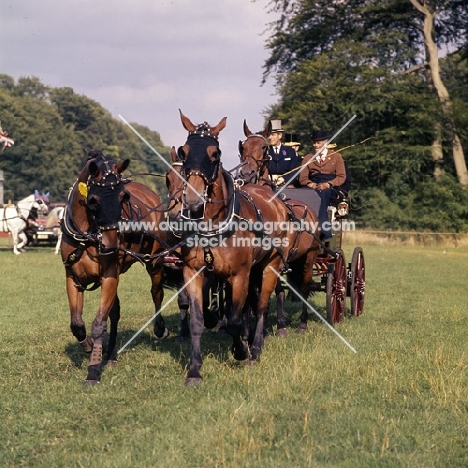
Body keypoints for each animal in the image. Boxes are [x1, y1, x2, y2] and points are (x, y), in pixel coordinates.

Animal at [61, 150, 169, 384]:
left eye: (123, 197)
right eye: (93, 200)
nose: (111, 245)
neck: (88, 237)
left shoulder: (109, 275)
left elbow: (99, 323)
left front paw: (93, 369)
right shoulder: (73, 277)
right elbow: (77, 324)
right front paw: (90, 347)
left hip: (155, 261)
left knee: (156, 292)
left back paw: (160, 328)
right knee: (115, 312)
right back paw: (111, 355)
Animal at [166, 111, 294, 386]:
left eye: (215, 153)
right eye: (184, 151)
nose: (192, 199)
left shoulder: (240, 275)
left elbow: (235, 319)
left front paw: (241, 350)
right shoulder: (193, 272)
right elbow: (197, 320)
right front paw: (194, 370)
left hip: (270, 266)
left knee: (261, 305)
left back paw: (255, 349)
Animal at [238, 119, 322, 334]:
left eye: (264, 147)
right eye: (243, 147)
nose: (247, 174)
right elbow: (258, 294)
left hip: (309, 258)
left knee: (305, 288)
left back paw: (302, 324)